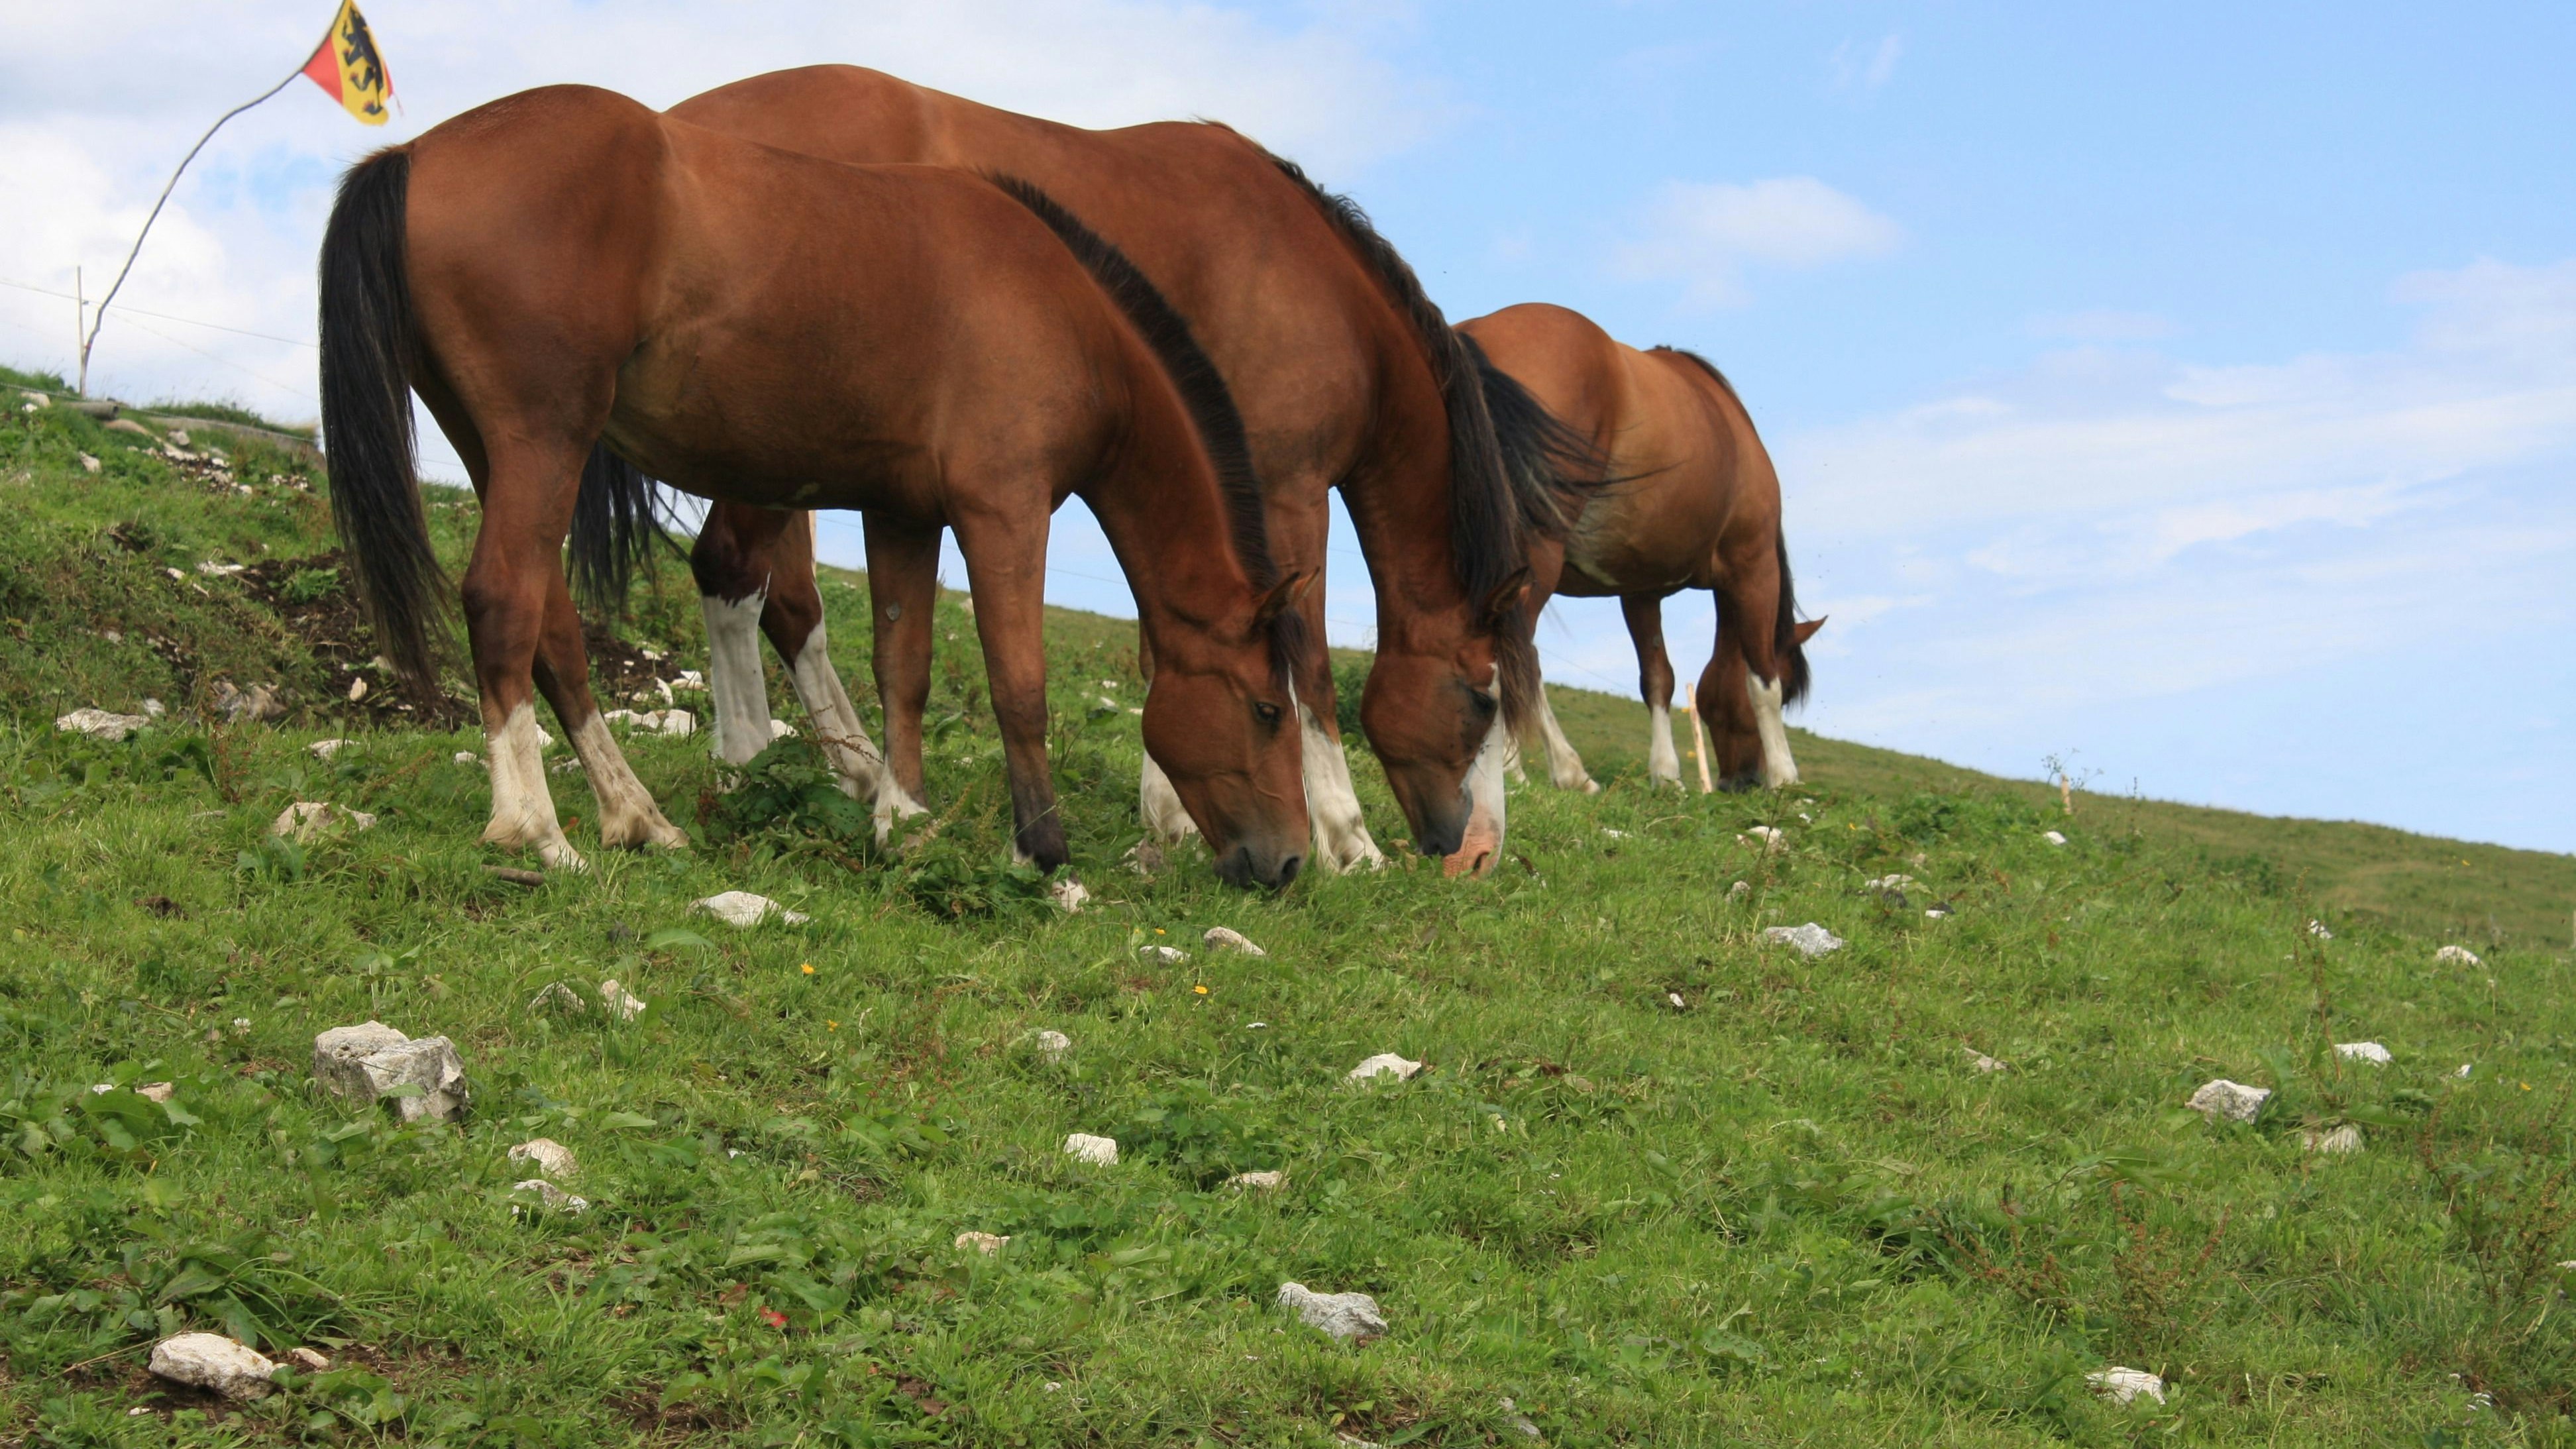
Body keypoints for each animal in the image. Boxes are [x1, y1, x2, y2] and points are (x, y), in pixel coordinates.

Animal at [324, 87, 1318, 892]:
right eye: (1268, 709)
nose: (1290, 861)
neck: (1068, 313)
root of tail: (416, 154)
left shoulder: (906, 513)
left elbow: (904, 666)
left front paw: (902, 820)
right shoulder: (1004, 508)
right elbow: (1018, 680)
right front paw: (1043, 850)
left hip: (499, 447)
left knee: (555, 627)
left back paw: (637, 815)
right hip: (545, 439)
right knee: (505, 604)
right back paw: (536, 831)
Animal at [564, 62, 1566, 877]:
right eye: (1483, 698)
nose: (1477, 853)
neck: (1310, 282)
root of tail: (678, 126)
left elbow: (1176, 638)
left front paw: (1168, 815)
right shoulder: (1286, 492)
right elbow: (1306, 664)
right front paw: (1345, 837)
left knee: (781, 597)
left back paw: (849, 767)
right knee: (735, 574)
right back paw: (752, 764)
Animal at [1452, 301, 1834, 788]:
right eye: (1790, 695)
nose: (1742, 781)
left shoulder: (1639, 590)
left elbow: (1657, 679)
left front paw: (1667, 775)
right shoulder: (1755, 566)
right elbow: (1761, 675)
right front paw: (1786, 776)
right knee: (1519, 652)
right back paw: (1558, 771)